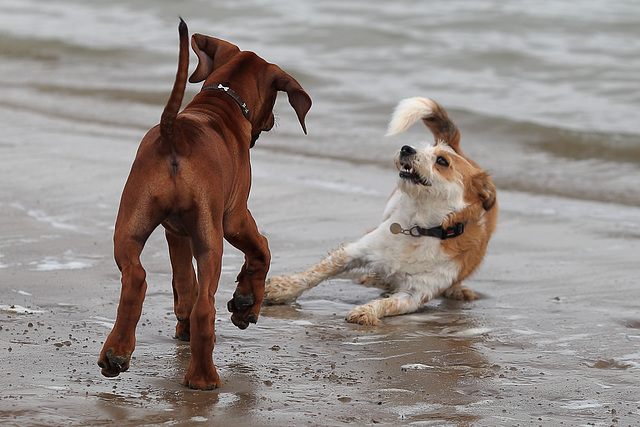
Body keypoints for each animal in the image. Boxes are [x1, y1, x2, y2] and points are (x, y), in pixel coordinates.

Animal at [95, 20, 312, 392]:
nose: (270, 121)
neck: (223, 99)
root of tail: (174, 134)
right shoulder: (234, 217)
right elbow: (262, 249)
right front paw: (246, 302)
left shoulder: (175, 232)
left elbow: (184, 284)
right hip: (211, 239)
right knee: (204, 307)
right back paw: (203, 377)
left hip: (131, 225)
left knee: (137, 279)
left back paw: (116, 353)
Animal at [262, 98, 498, 324]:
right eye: (423, 148)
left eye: (442, 161)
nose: (407, 148)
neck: (419, 227)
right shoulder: (356, 250)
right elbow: (316, 272)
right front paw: (283, 288)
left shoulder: (416, 293)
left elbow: (389, 304)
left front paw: (367, 311)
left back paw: (456, 290)